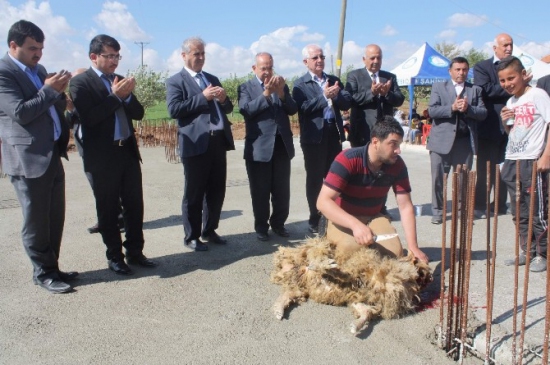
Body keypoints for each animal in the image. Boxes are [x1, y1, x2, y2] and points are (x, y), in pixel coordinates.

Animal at [272, 235, 436, 334]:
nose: (431, 278)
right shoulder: (358, 270)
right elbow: (343, 273)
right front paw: (329, 268)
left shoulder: (360, 299)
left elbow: (366, 312)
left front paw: (355, 326)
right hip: (317, 248)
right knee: (317, 258)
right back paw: (323, 264)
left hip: (299, 287)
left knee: (287, 295)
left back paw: (278, 310)